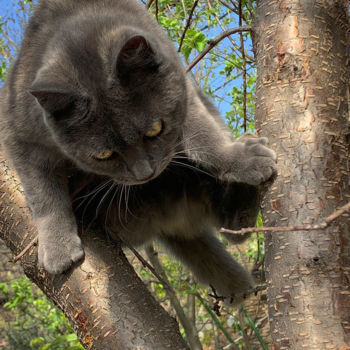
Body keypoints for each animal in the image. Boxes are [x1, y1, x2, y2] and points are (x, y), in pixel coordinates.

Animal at [0, 0, 276, 300]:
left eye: (155, 129)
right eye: (104, 155)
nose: (146, 173)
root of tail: (170, 221)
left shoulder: (183, 91)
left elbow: (204, 137)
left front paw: (241, 159)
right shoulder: (18, 133)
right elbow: (42, 193)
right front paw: (59, 249)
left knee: (234, 229)